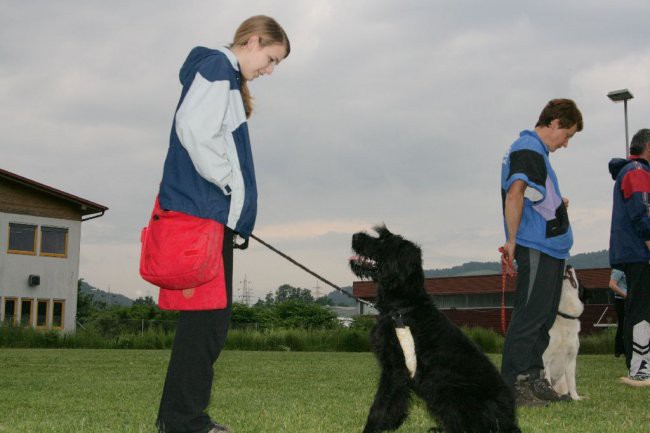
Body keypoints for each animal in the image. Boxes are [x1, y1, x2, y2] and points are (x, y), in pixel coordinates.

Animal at [350, 226, 520, 432]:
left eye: (383, 240)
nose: (355, 236)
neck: (403, 307)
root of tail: (509, 421)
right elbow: (396, 401)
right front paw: (392, 424)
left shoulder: (395, 369)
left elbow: (381, 404)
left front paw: (371, 428)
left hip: (448, 390)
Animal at [540, 264, 584, 400]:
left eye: (578, 279)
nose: (568, 265)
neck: (565, 316)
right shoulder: (545, 359)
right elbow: (547, 380)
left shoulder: (571, 360)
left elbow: (572, 383)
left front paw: (576, 399)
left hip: (562, 383)